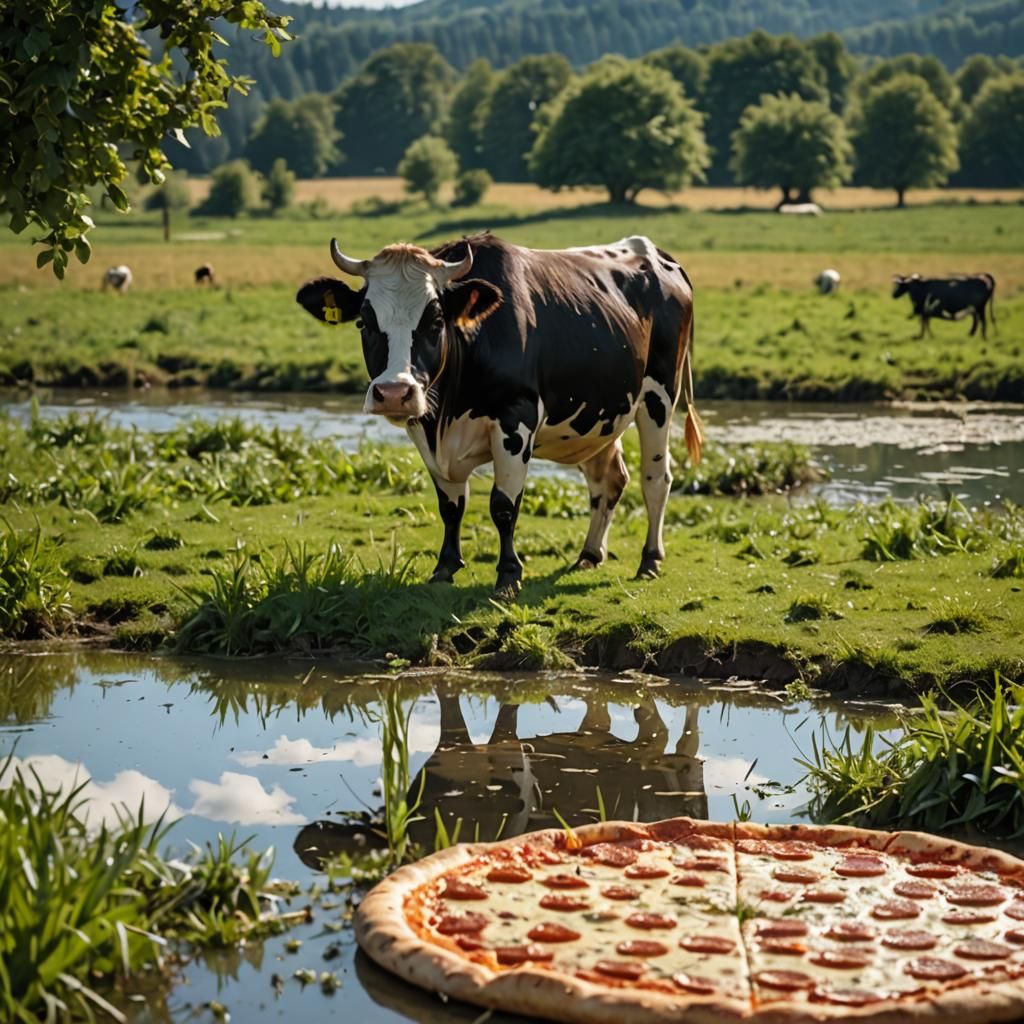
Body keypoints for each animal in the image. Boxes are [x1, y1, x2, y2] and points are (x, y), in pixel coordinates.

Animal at [296, 232, 703, 597]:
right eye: (363, 322)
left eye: (435, 321)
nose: (395, 393)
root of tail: (658, 254)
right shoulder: (426, 428)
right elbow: (450, 506)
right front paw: (445, 568)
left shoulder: (515, 419)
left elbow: (504, 506)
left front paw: (508, 576)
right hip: (599, 415)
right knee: (609, 479)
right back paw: (588, 554)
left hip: (659, 396)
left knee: (656, 478)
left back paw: (650, 559)